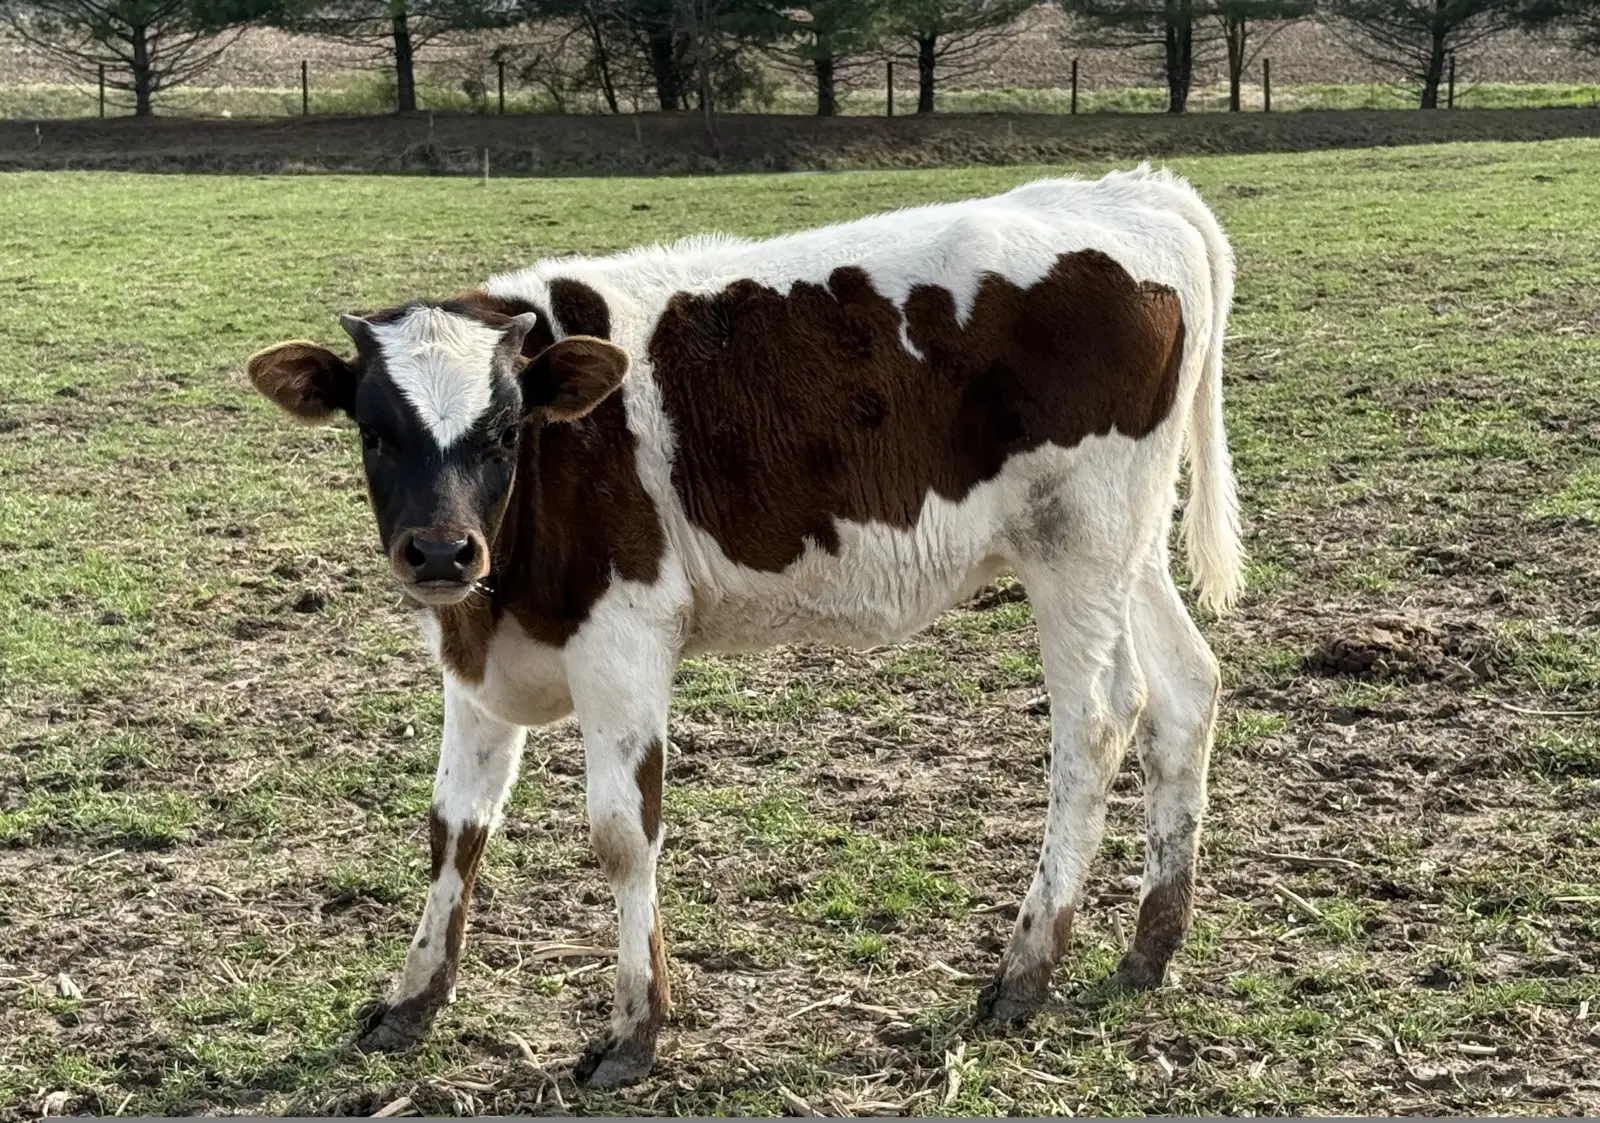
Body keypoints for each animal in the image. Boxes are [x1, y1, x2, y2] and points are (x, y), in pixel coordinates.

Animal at [245, 166, 1243, 1088]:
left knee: (1098, 722)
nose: (443, 552)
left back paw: (1025, 971)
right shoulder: (475, 659)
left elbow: (623, 829)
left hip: (1077, 547)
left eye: (503, 431)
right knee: (1186, 692)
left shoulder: (624, 639)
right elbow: (455, 826)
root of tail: (1134, 192)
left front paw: (636, 1028)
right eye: (375, 431)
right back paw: (1152, 945)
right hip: (1129, 553)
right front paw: (411, 1000)